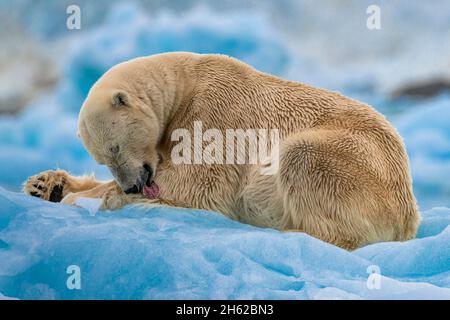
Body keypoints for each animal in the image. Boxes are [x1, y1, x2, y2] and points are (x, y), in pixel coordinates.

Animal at [22, 52, 420, 250]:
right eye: (102, 158)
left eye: (115, 146)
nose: (133, 185)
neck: (184, 84)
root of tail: (409, 215)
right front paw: (45, 185)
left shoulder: (215, 114)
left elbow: (198, 184)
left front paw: (91, 198)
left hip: (359, 167)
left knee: (304, 159)